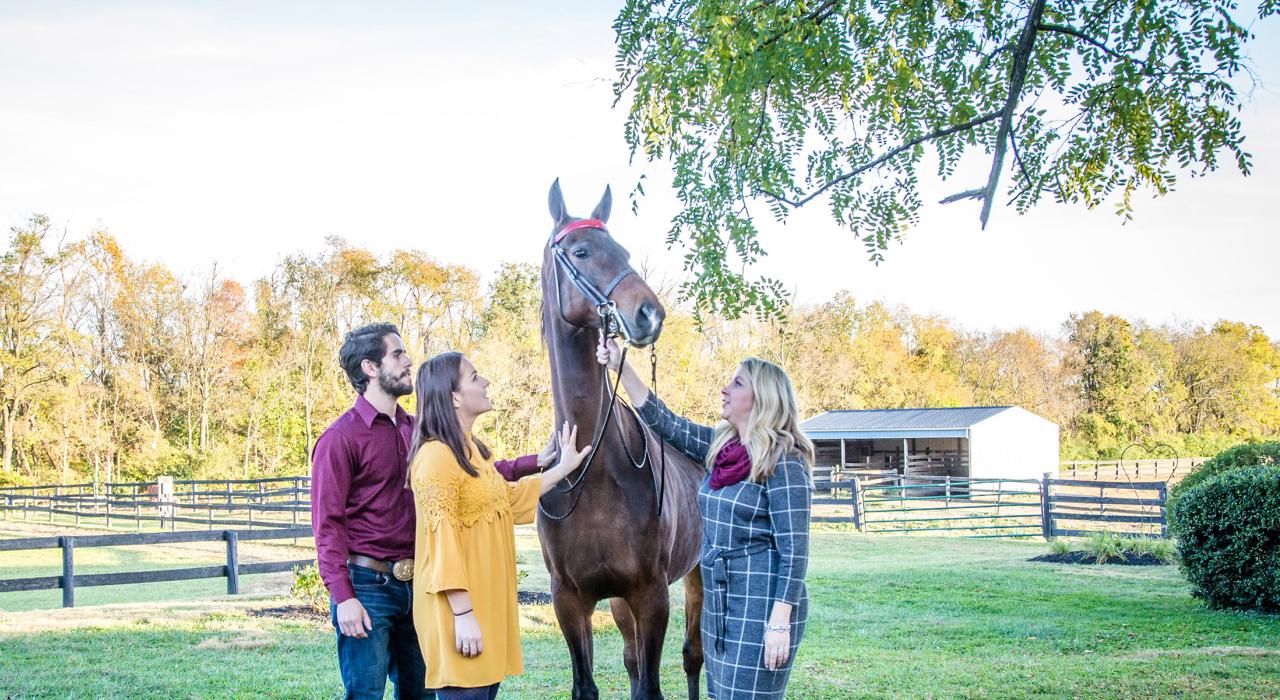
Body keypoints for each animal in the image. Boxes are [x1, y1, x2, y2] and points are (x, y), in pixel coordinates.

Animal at [537, 179, 706, 700]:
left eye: (625, 251)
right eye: (582, 251)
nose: (649, 314)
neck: (593, 472)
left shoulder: (651, 593)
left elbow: (652, 684)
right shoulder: (571, 600)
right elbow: (591, 684)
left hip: (699, 576)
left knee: (693, 657)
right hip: (617, 604)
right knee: (632, 660)